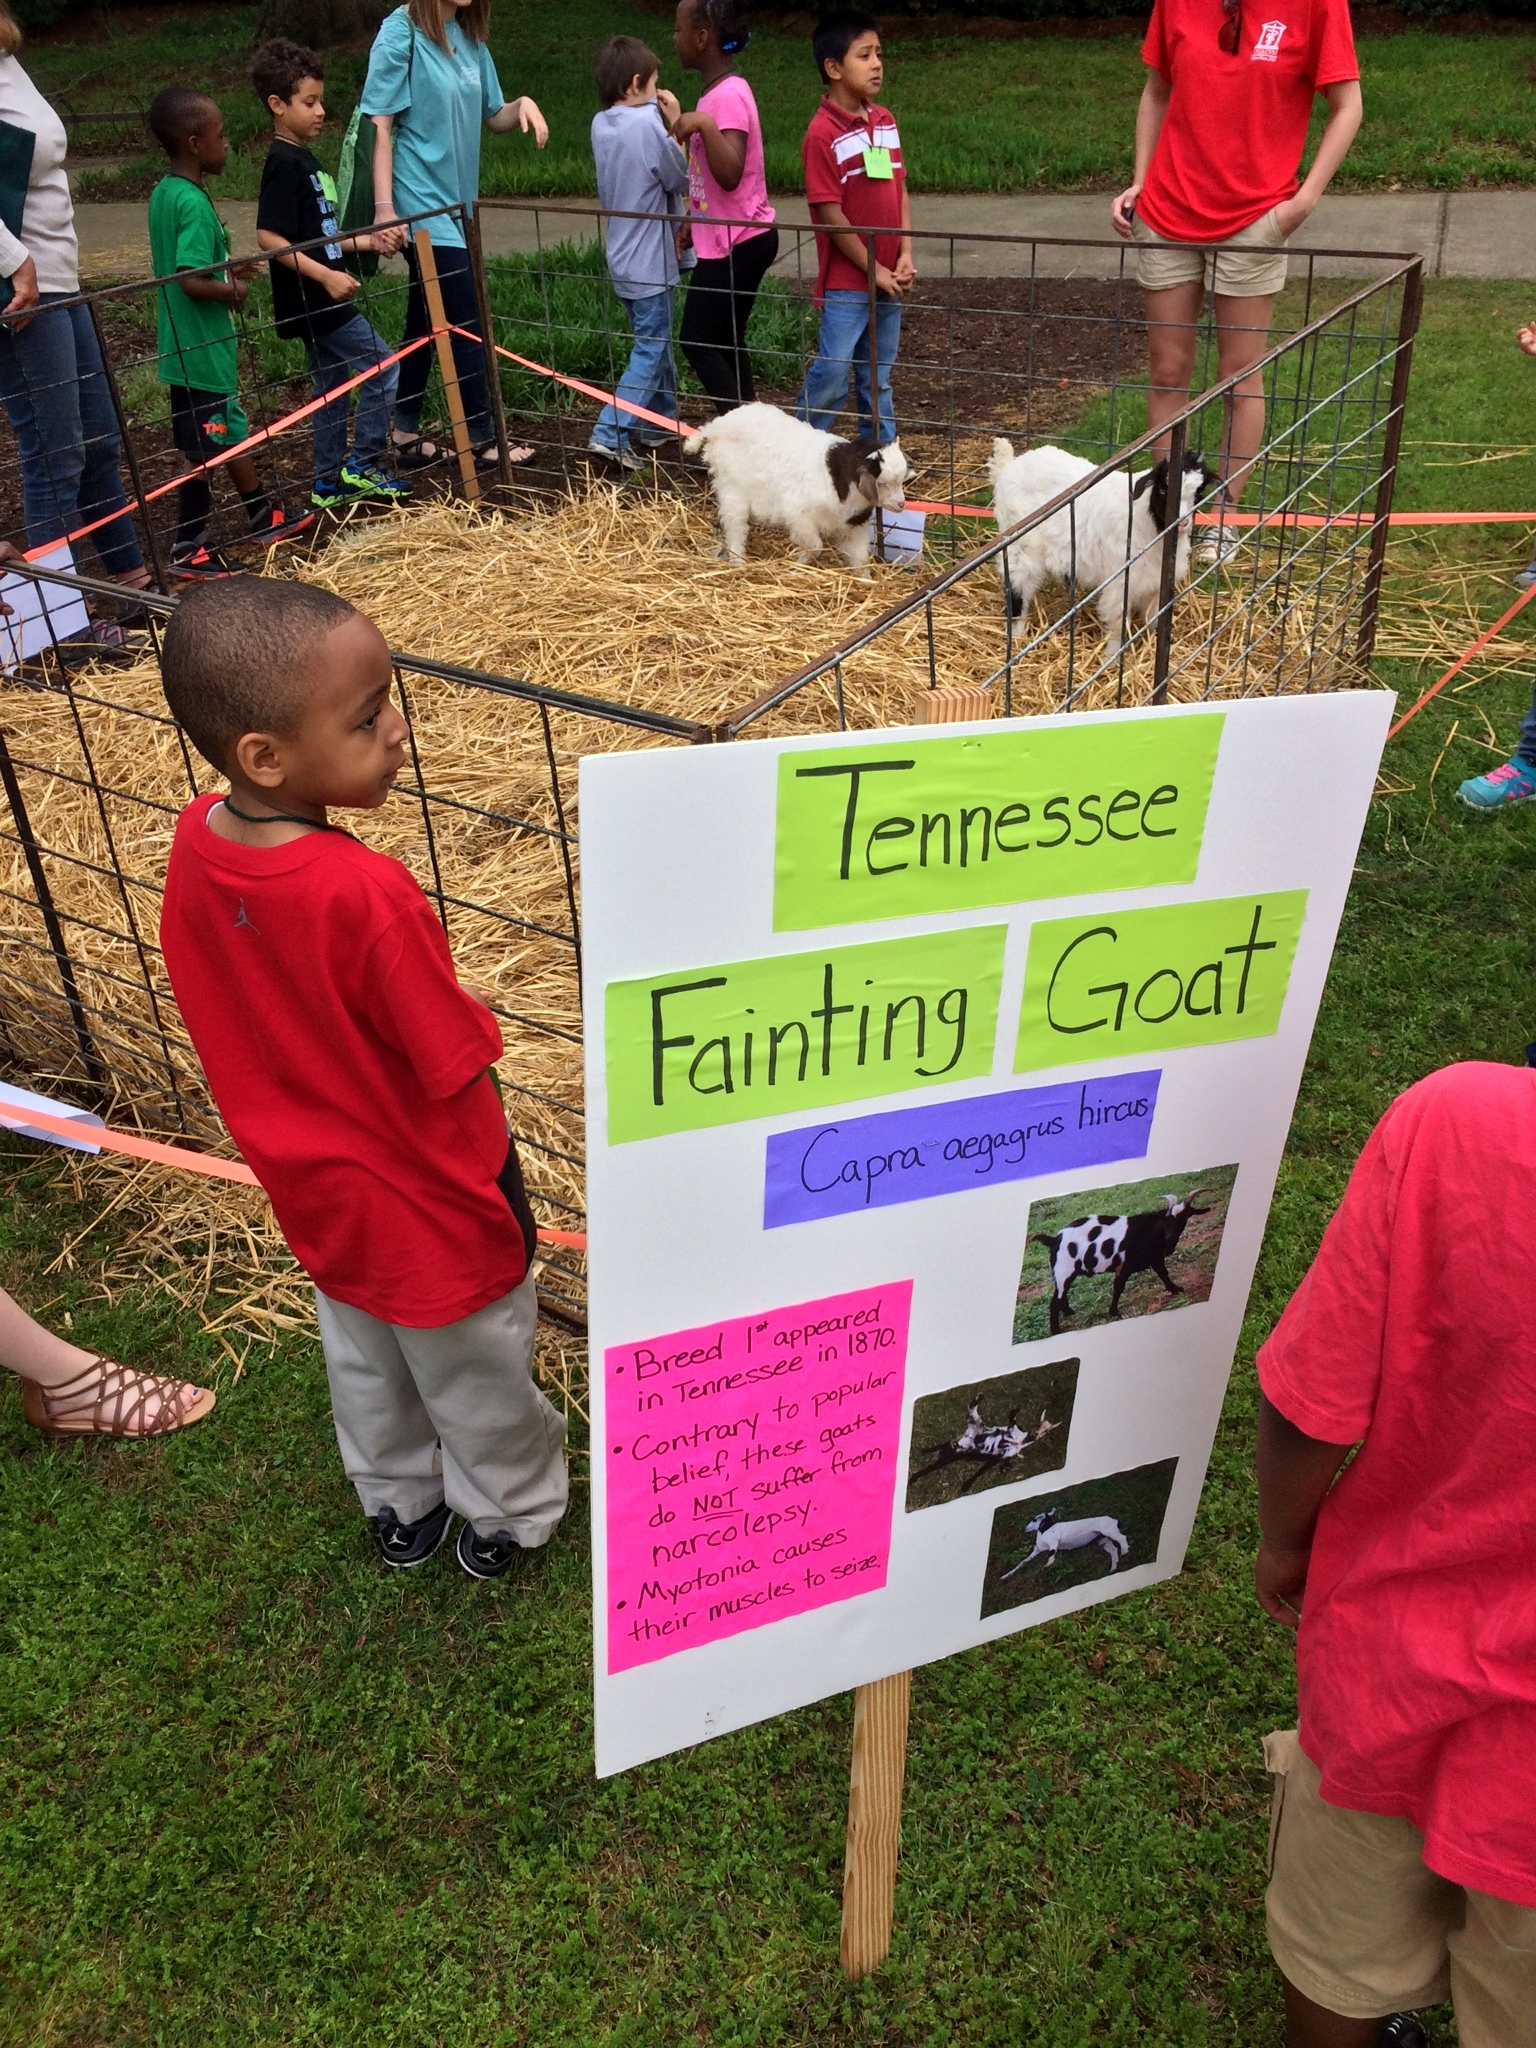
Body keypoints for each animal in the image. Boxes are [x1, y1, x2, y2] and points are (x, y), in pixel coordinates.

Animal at [683, 402, 910, 573]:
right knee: (735, 527)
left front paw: (866, 580)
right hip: (732, 489)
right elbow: (815, 546)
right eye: (881, 483)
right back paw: (738, 560)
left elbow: (860, 559)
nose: (901, 504)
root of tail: (717, 426)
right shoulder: (799, 516)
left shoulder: (851, 528)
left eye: (901, 481)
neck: (838, 478)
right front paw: (797, 566)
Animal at [909, 1402, 1057, 1493]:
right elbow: (1011, 1419)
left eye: (1047, 1431)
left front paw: (966, 1486)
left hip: (954, 1453)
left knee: (943, 1451)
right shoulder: (1009, 1430)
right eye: (1038, 1425)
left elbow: (986, 1469)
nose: (1035, 1434)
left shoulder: (1001, 1456)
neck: (1019, 1440)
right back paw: (915, 1474)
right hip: (954, 1451)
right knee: (938, 1457)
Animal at [987, 440, 1216, 655]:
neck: (1147, 522)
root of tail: (1009, 467)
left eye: (1199, 491)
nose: (1182, 522)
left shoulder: (1155, 584)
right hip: (1019, 549)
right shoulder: (1120, 581)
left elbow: (1154, 618)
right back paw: (1017, 637)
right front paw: (1111, 657)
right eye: (1162, 489)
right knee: (1018, 591)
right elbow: (1117, 622)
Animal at [1000, 1508, 1129, 1580]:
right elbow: (1022, 1562)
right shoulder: (1037, 1550)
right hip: (1104, 1540)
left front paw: (1047, 1565)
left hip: (1109, 1531)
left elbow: (1051, 1554)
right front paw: (1005, 1576)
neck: (1045, 1530)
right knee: (1113, 1550)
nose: (1025, 1528)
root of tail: (1114, 1520)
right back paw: (1113, 1568)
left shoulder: (1053, 1542)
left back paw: (1124, 1551)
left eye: (1034, 1519)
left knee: (1122, 1538)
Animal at [1033, 1189, 1212, 1336]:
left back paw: (1069, 1312)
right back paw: (1056, 1330)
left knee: (1060, 1294)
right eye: (1167, 1219)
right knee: (1054, 1301)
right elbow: (1118, 1287)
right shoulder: (1124, 1266)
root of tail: (1054, 1239)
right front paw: (1114, 1313)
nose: (1169, 1237)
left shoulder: (1155, 1259)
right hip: (1064, 1270)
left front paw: (1175, 1290)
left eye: (1184, 1217)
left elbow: (1163, 1274)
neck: (1150, 1231)